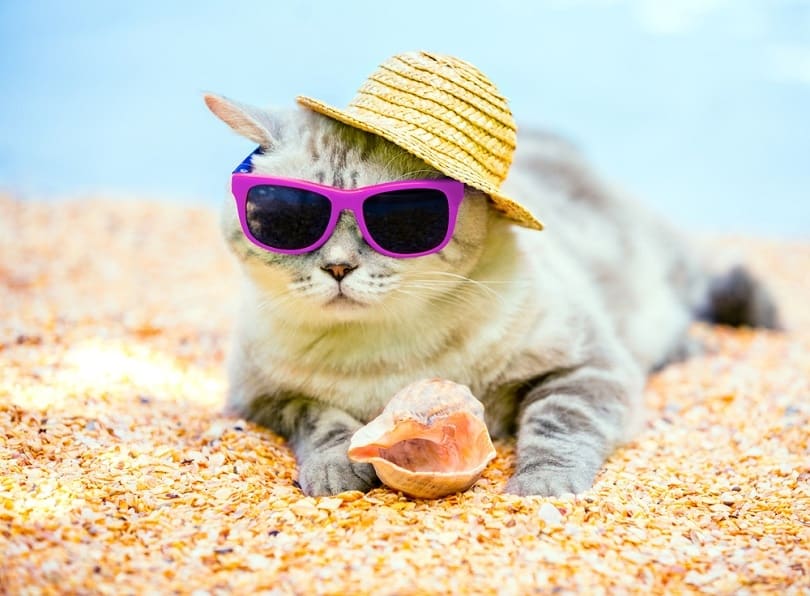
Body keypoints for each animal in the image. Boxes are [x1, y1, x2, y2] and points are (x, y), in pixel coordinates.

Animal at [202, 93, 776, 498]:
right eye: (286, 219)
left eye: (404, 222)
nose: (338, 267)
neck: (384, 356)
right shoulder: (264, 397)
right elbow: (321, 420)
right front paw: (335, 470)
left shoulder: (587, 367)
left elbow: (556, 425)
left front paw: (542, 488)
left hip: (667, 277)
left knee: (708, 291)